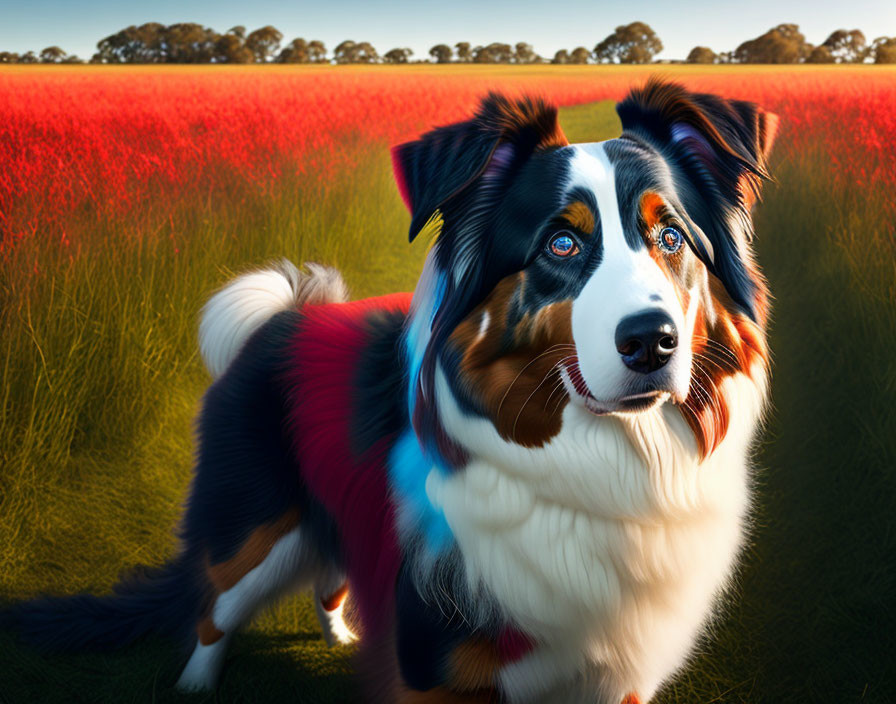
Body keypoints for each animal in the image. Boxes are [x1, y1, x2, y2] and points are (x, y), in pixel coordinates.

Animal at [7, 80, 776, 700]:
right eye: (561, 244)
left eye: (670, 236)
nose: (652, 342)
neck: (602, 459)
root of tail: (284, 315)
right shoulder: (435, 660)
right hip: (256, 520)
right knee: (214, 607)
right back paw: (198, 686)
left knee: (328, 574)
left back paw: (342, 636)